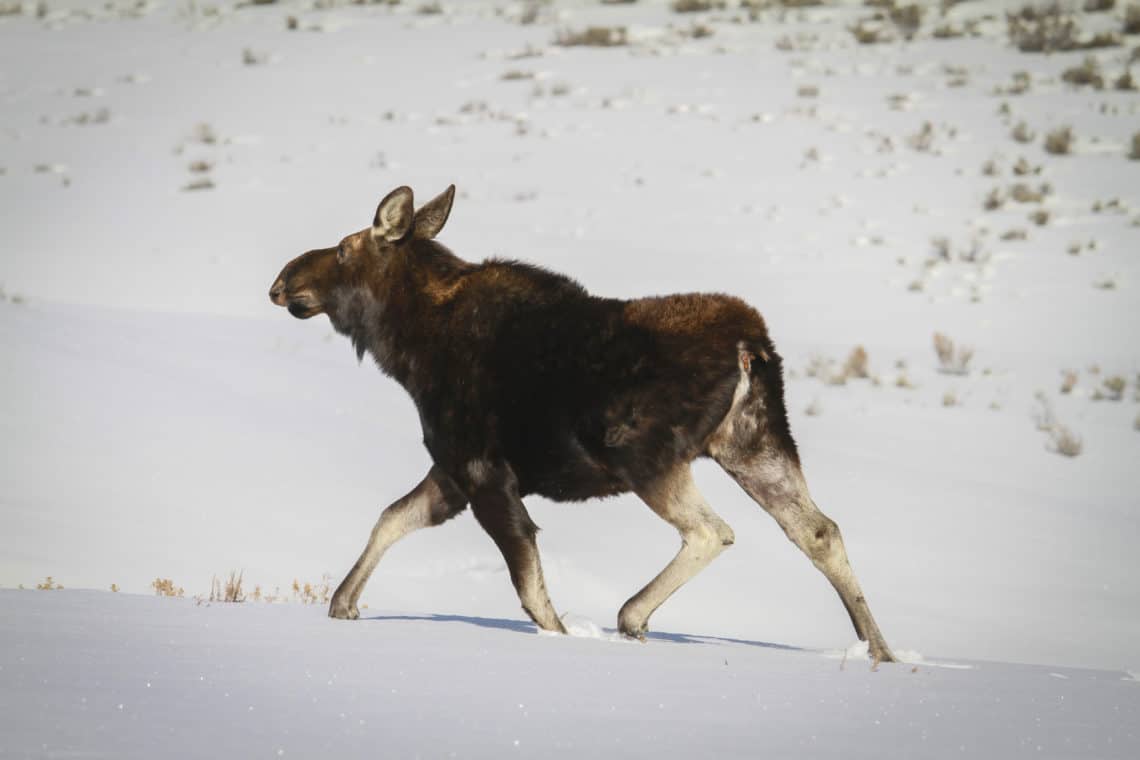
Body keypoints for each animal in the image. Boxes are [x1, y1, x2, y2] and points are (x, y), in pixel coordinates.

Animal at [269, 185, 898, 665]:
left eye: (346, 249)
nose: (282, 281)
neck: (406, 348)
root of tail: (751, 346)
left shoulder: (480, 469)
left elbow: (528, 583)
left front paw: (562, 637)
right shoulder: (452, 471)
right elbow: (391, 519)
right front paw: (344, 604)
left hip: (644, 454)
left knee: (712, 530)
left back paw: (634, 614)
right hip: (753, 444)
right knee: (819, 531)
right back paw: (881, 651)